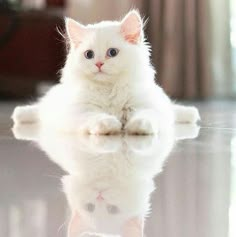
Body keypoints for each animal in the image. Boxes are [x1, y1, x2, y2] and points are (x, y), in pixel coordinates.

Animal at [11, 10, 199, 135]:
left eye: (112, 53)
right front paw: (109, 125)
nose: (99, 64)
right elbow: (97, 118)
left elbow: (145, 117)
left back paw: (190, 114)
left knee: (172, 110)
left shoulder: (145, 105)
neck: (109, 89)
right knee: (38, 110)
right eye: (89, 55)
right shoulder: (81, 111)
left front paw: (138, 127)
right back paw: (20, 114)